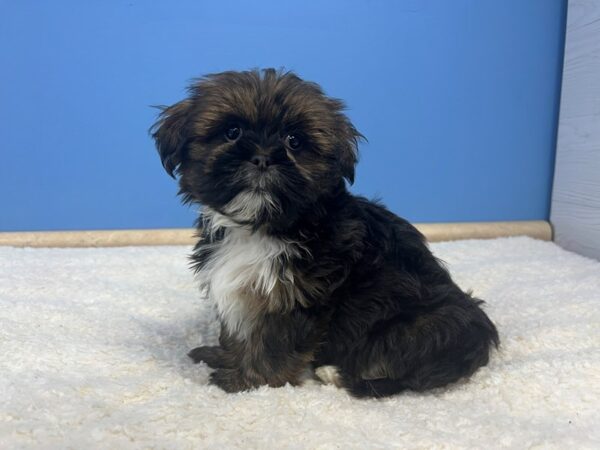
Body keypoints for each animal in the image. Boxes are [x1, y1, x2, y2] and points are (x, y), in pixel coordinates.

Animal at [152, 69, 500, 398]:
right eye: (232, 132)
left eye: (294, 141)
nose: (263, 157)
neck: (263, 227)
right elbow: (240, 331)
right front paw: (224, 357)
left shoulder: (297, 297)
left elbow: (273, 344)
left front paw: (247, 382)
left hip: (423, 326)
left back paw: (336, 374)